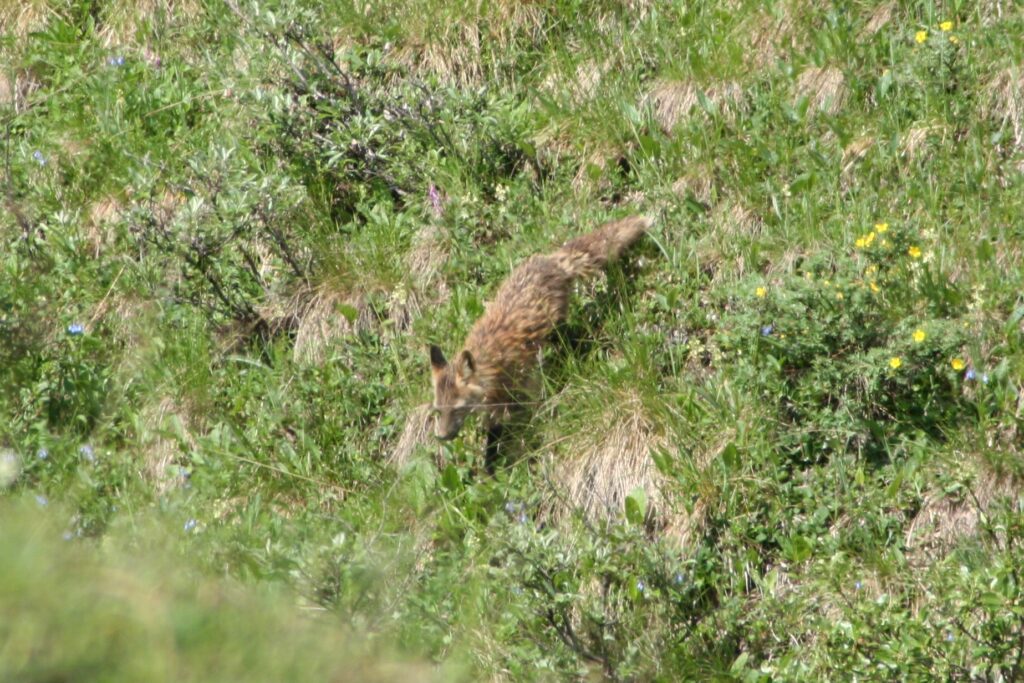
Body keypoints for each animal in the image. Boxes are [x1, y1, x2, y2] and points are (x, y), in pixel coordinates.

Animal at [428, 215, 651, 471]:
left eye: (457, 409)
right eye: (438, 411)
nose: (442, 437)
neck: (490, 364)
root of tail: (549, 260)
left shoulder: (519, 389)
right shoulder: (494, 406)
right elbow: (492, 441)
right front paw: (489, 472)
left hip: (555, 330)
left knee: (573, 339)